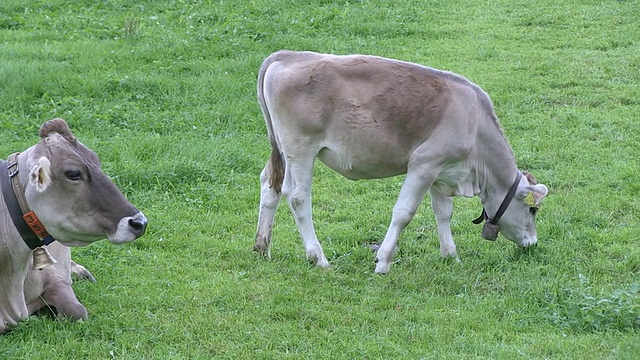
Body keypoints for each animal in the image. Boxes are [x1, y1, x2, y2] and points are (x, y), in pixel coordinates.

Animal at [252, 50, 548, 274]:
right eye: (533, 210)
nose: (532, 243)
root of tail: (288, 56)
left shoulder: (441, 170)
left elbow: (444, 212)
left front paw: (451, 255)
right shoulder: (424, 164)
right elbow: (404, 213)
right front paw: (382, 261)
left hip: (283, 150)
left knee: (271, 184)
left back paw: (262, 247)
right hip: (301, 148)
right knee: (298, 197)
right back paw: (318, 258)